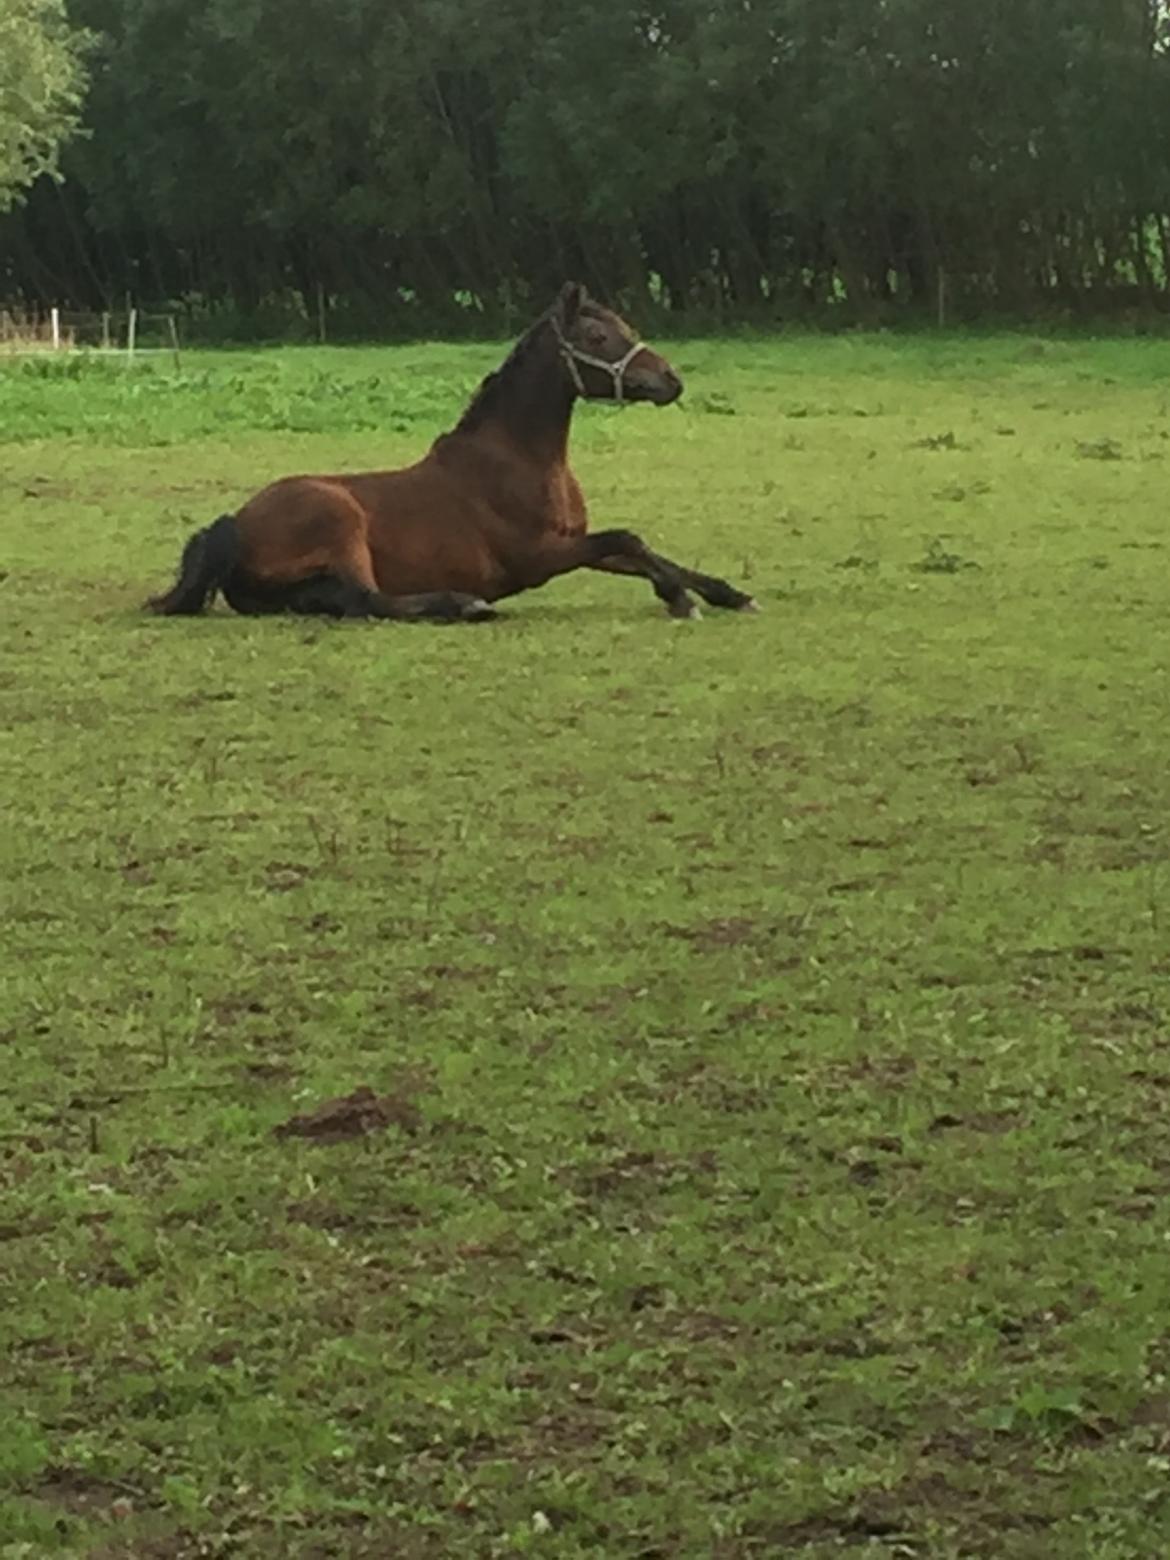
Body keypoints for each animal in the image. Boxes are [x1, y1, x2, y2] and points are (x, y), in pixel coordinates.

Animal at [146, 283, 761, 624]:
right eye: (598, 338)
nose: (671, 381)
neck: (522, 460)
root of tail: (235, 521)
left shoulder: (572, 543)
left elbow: (646, 551)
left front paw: (727, 594)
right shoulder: (539, 556)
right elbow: (630, 539)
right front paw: (681, 599)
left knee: (346, 601)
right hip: (339, 519)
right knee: (371, 602)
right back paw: (465, 605)